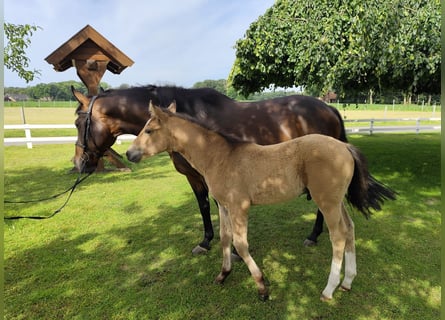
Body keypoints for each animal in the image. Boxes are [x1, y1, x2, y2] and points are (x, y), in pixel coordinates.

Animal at [71, 85, 346, 255]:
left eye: (77, 122)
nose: (80, 163)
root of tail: (330, 109)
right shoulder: (194, 178)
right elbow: (203, 206)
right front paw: (205, 242)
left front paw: (233, 250)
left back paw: (313, 235)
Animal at [126, 102, 394, 300]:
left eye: (149, 130)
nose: (129, 153)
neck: (220, 157)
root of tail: (345, 147)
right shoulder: (224, 206)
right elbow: (225, 239)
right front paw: (223, 274)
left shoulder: (239, 207)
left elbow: (241, 244)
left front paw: (262, 286)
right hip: (337, 202)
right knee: (349, 229)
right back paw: (347, 281)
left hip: (326, 202)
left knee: (337, 236)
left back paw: (329, 289)